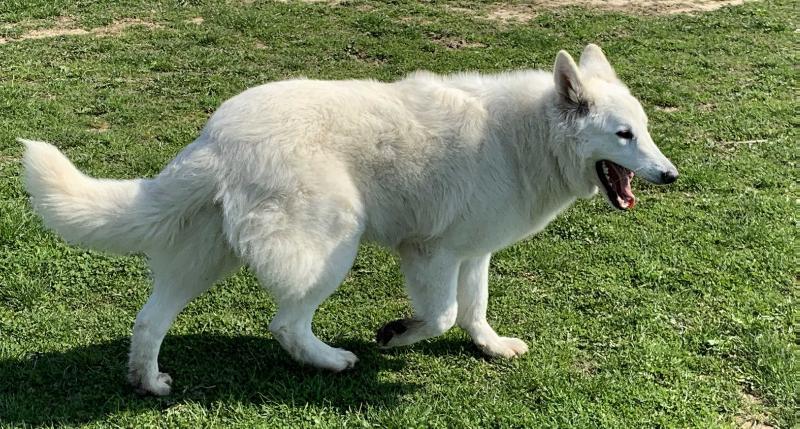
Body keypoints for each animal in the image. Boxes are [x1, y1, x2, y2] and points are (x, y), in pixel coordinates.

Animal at [20, 43, 676, 394]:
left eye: (644, 130)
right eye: (623, 135)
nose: (670, 176)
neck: (527, 137)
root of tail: (216, 138)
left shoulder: (472, 253)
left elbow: (473, 311)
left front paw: (490, 346)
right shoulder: (431, 252)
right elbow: (441, 315)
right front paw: (396, 335)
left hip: (205, 259)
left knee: (149, 320)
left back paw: (148, 382)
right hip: (334, 244)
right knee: (285, 324)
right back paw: (331, 360)